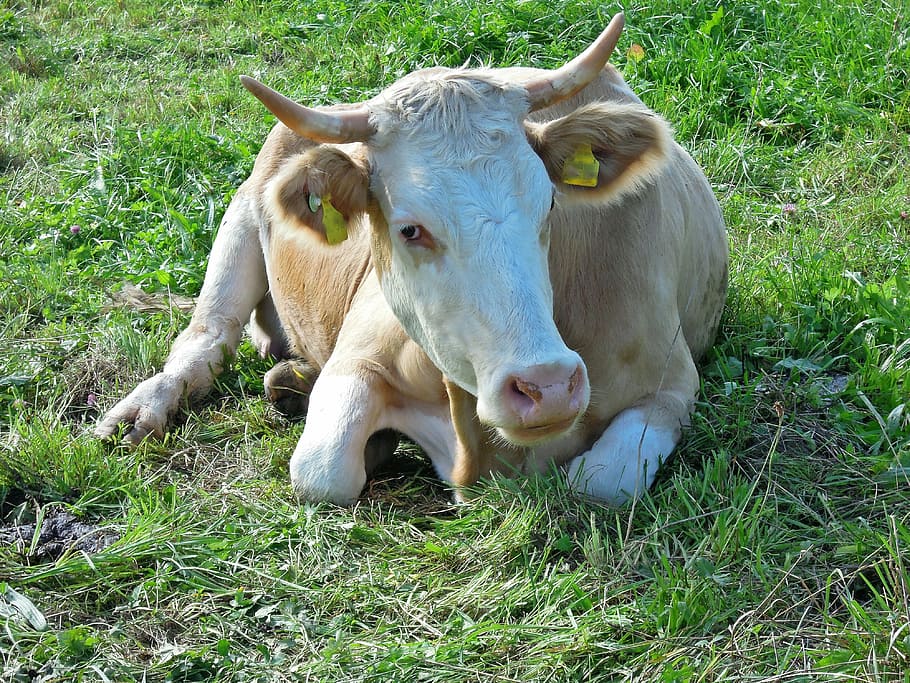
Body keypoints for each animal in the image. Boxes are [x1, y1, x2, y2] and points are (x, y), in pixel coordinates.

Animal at [95, 14, 728, 506]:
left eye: (549, 204)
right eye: (410, 229)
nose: (546, 387)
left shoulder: (673, 385)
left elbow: (600, 482)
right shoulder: (358, 354)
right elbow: (322, 470)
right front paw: (371, 444)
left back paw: (291, 379)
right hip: (242, 218)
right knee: (206, 337)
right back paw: (144, 409)